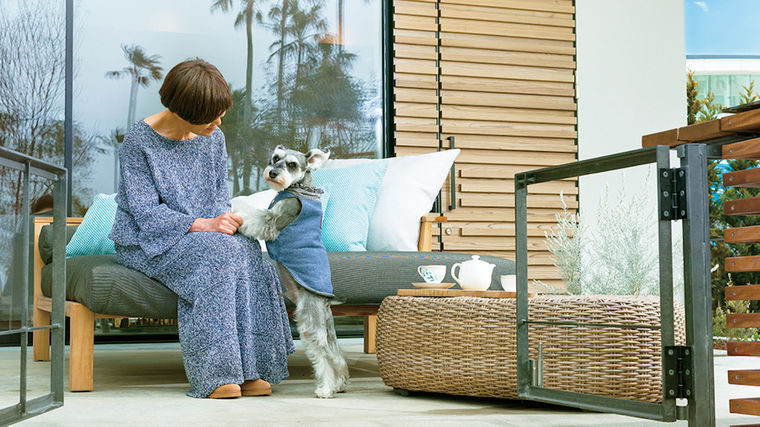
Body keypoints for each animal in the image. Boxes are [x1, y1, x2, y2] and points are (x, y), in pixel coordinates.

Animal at [233, 145, 348, 400]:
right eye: (275, 158)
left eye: (293, 164)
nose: (273, 173)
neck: (301, 189)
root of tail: (325, 301)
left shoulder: (272, 220)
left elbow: (253, 215)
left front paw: (234, 206)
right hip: (326, 328)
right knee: (336, 356)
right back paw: (338, 384)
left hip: (310, 323)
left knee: (324, 356)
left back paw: (326, 389)